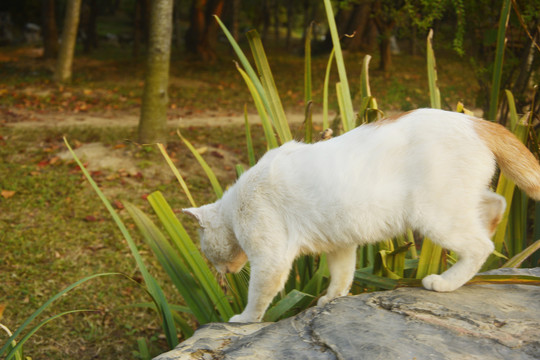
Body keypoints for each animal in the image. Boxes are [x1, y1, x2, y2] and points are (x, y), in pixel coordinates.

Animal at [184, 108, 540, 322]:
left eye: (204, 252)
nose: (219, 271)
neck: (235, 207)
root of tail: (475, 121)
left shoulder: (271, 259)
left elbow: (258, 297)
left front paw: (243, 320)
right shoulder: (340, 245)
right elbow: (342, 276)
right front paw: (331, 299)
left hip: (435, 215)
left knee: (481, 246)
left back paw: (445, 281)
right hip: (459, 202)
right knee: (496, 205)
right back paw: (490, 226)